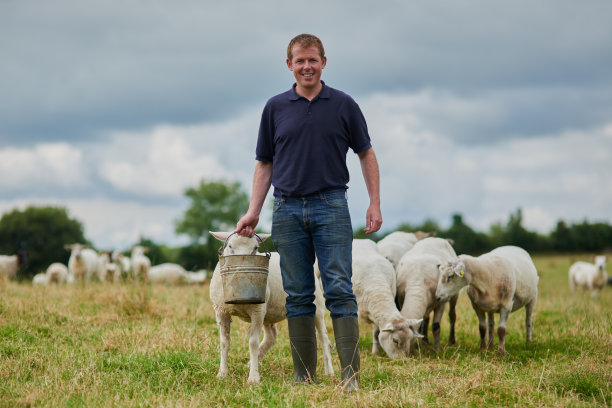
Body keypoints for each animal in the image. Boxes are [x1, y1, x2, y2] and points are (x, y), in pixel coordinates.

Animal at [210, 231, 334, 384]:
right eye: (230, 246)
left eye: (256, 248)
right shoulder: (221, 311)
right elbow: (224, 342)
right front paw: (222, 374)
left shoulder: (257, 310)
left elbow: (253, 343)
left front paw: (253, 377)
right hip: (269, 312)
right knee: (271, 337)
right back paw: (251, 362)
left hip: (317, 307)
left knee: (323, 339)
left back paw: (329, 371)